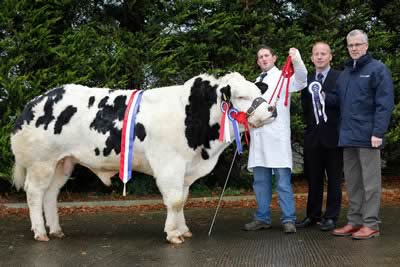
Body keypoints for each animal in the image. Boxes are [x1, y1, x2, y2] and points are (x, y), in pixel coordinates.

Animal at [10, 73, 272, 245]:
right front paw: (173, 234)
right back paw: (40, 232)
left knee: (51, 194)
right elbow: (174, 201)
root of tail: (34, 102)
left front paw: (183, 229)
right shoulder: (169, 165)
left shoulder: (186, 169)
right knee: (35, 193)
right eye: (242, 96)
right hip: (42, 162)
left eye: (260, 93)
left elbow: (183, 200)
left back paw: (55, 230)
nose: (272, 110)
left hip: (63, 162)